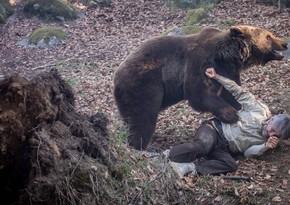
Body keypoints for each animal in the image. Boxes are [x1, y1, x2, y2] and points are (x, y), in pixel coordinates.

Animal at [113, 25, 288, 151]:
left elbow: (231, 92)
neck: (225, 56)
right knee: (142, 119)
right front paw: (232, 115)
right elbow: (200, 94)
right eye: (269, 36)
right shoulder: (199, 62)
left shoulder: (229, 71)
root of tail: (116, 75)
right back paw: (140, 147)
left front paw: (240, 108)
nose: (285, 43)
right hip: (144, 85)